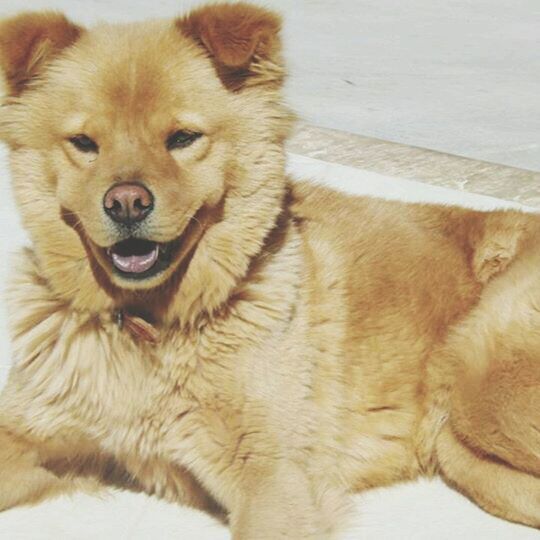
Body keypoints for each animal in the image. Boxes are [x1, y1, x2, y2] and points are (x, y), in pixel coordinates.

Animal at [0, 3, 536, 536]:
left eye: (183, 138)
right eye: (84, 143)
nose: (126, 203)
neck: (148, 325)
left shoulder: (273, 477)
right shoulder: (27, 429)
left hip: (480, 381)